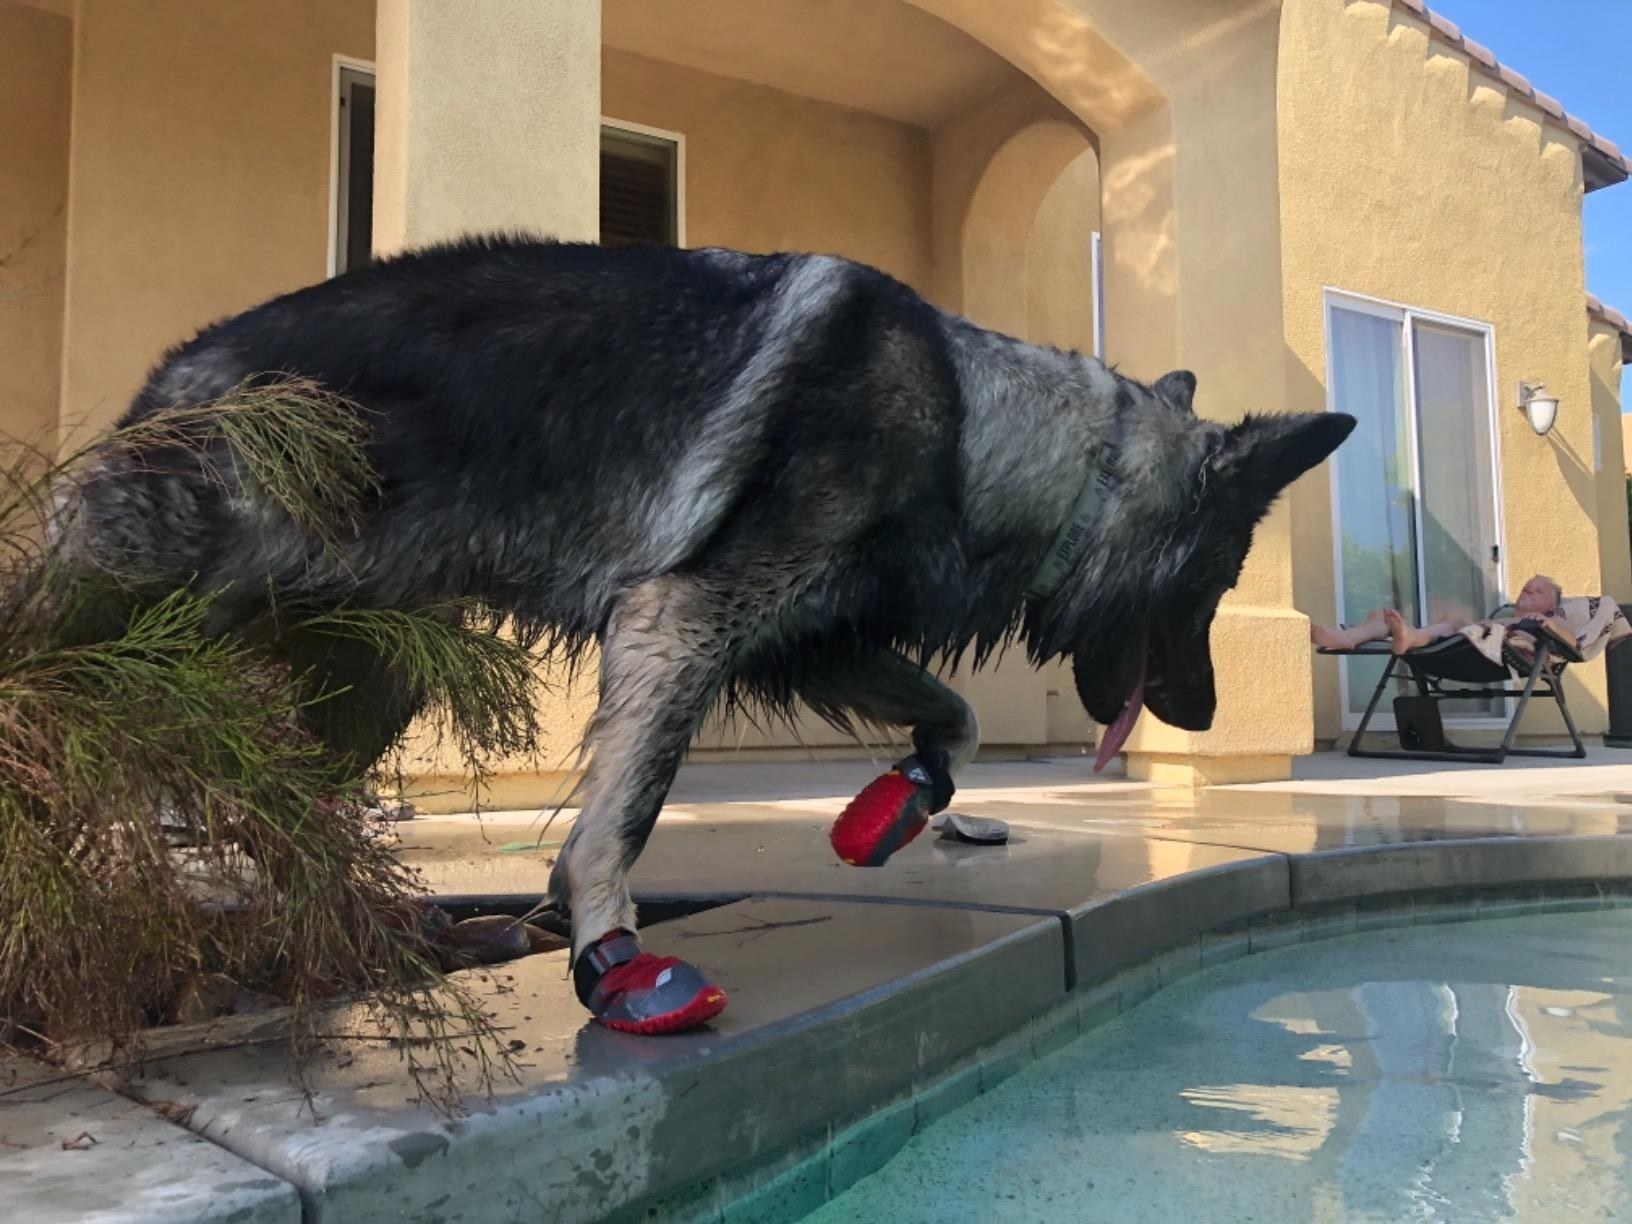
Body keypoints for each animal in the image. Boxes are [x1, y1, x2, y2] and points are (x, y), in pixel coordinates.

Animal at [57, 236, 1357, 1037]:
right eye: (1215, 581)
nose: (1208, 714)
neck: (980, 422)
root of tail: (175, 376)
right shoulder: (683, 622)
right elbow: (621, 818)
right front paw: (608, 958)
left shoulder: (801, 638)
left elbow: (956, 719)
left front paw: (899, 805)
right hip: (120, 630)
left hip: (367, 684)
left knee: (277, 812)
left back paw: (363, 939)